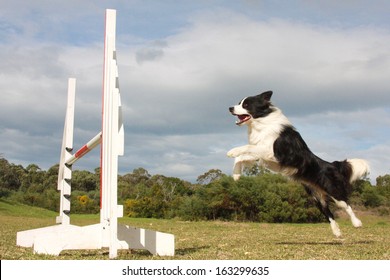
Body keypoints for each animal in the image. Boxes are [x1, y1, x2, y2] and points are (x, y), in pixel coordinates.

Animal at [227, 91, 370, 237]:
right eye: (239, 103)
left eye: (246, 105)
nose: (230, 108)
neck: (261, 122)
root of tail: (331, 164)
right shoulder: (262, 156)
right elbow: (242, 157)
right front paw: (236, 175)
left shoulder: (272, 152)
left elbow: (246, 147)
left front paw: (232, 151)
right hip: (317, 198)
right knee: (329, 214)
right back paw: (336, 232)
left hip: (333, 190)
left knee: (347, 205)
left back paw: (357, 223)